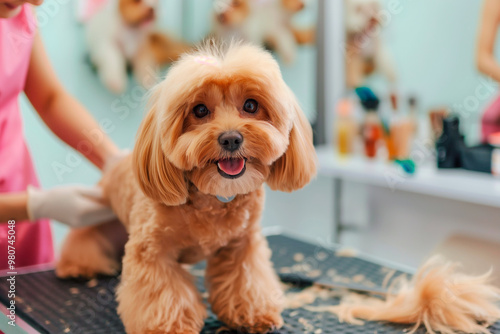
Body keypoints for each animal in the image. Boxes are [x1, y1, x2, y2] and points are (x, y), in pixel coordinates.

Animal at [56, 42, 318, 334]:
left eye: (251, 105)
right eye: (200, 110)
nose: (231, 138)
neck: (214, 197)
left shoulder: (241, 245)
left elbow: (247, 282)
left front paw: (254, 313)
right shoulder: (152, 253)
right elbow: (163, 294)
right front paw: (167, 327)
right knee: (81, 238)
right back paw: (76, 265)